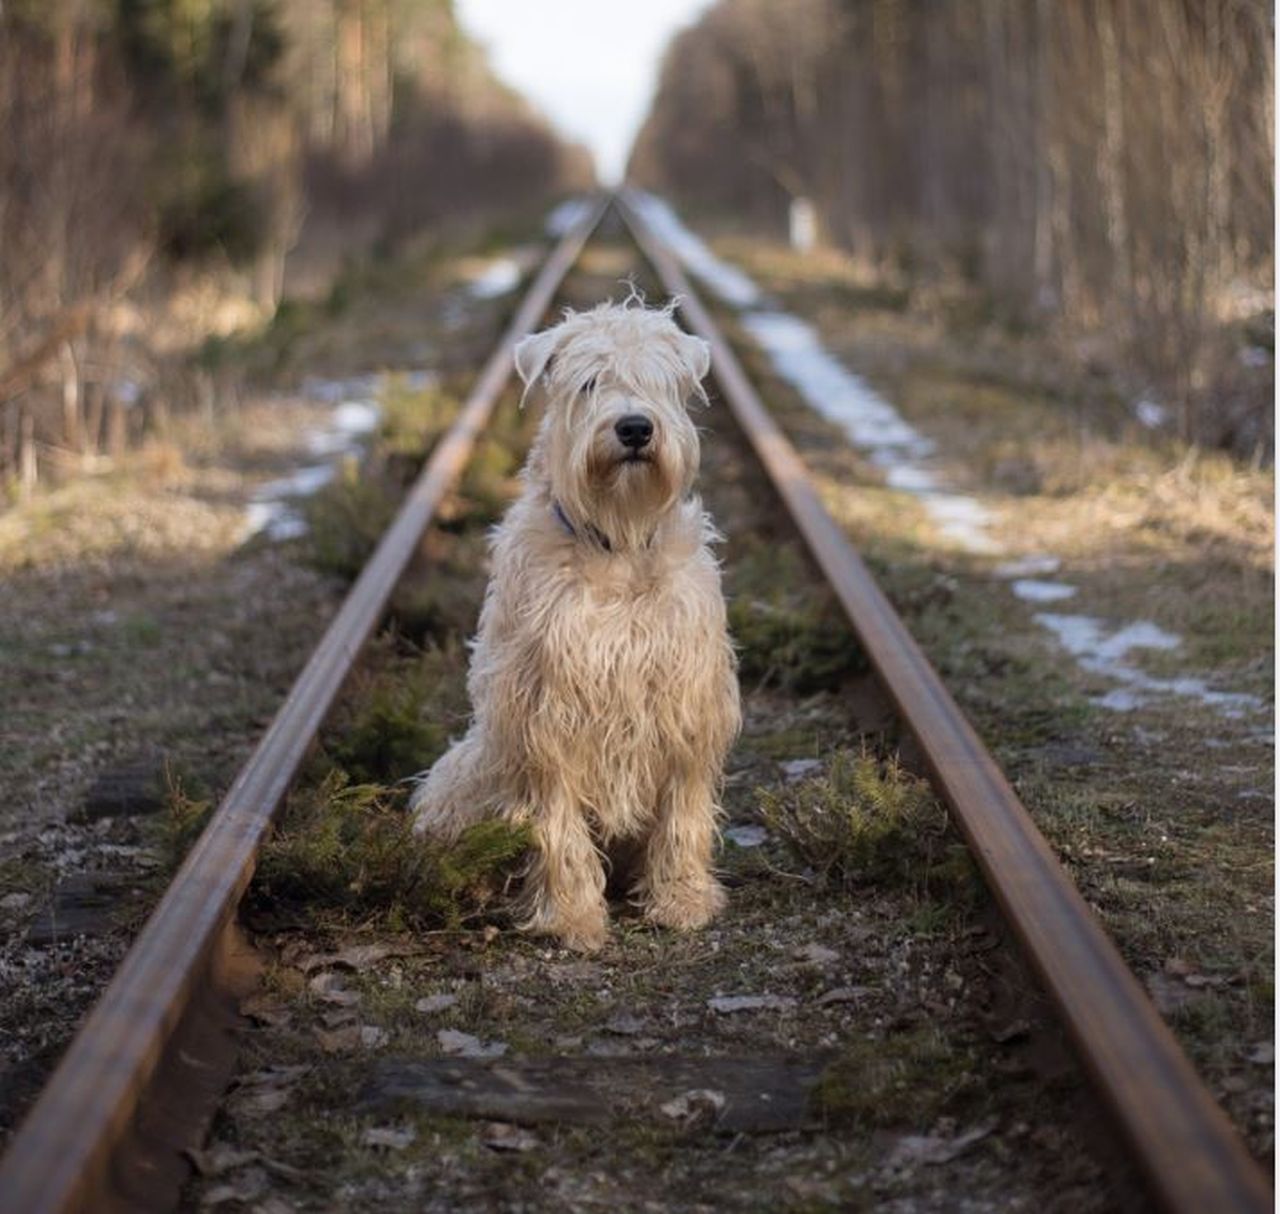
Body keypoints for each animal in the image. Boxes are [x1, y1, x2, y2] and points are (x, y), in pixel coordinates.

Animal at [412, 298, 742, 952]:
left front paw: (682, 899)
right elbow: (557, 827)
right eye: (589, 383)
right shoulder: (544, 713)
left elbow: (682, 815)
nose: (635, 428)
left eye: (659, 380)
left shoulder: (687, 705)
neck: (618, 541)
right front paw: (571, 917)